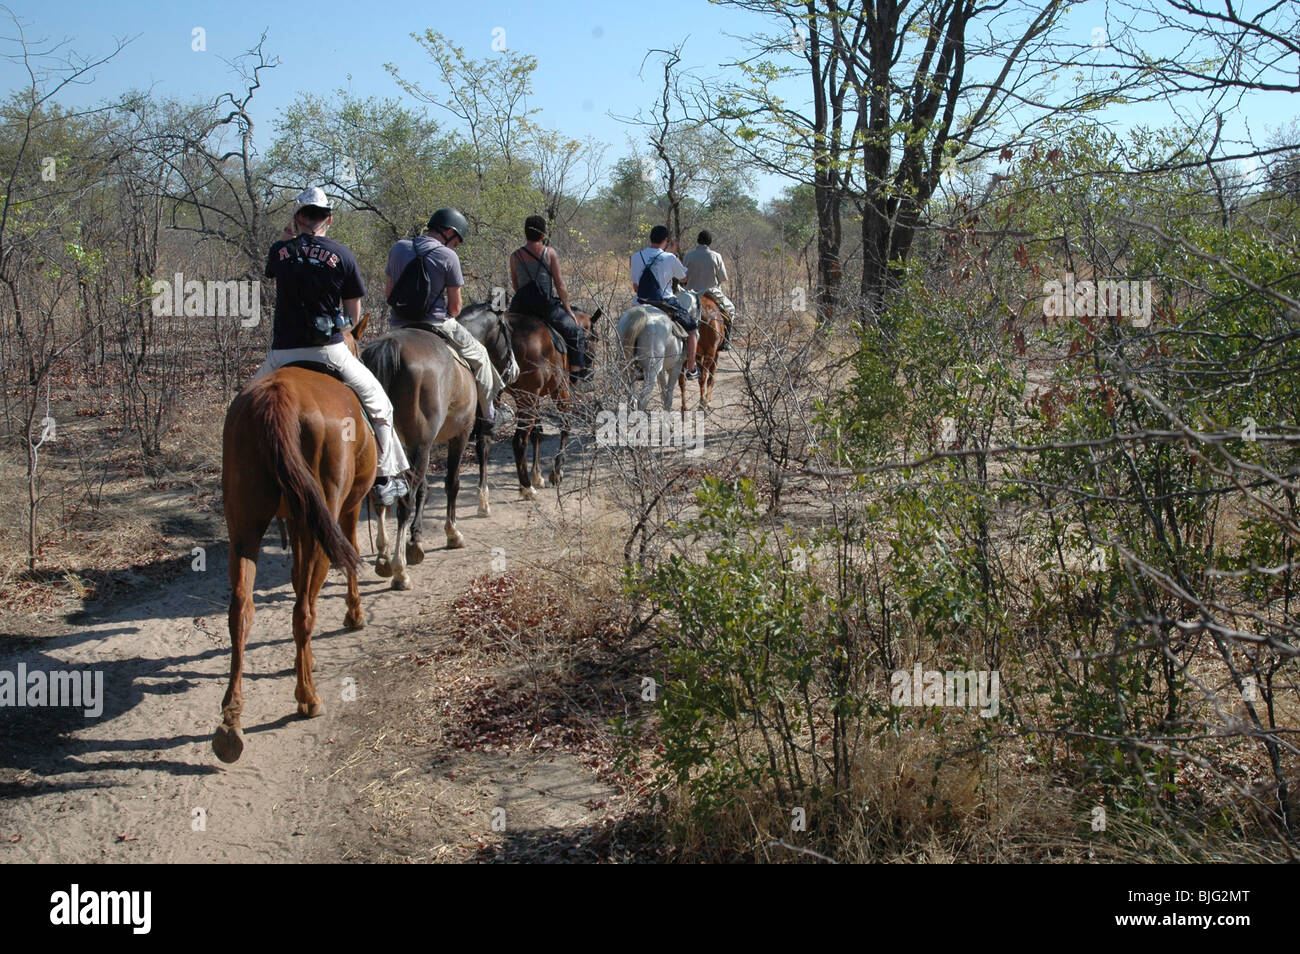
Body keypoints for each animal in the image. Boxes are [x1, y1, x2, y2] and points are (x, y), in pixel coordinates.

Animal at [214, 315, 376, 765]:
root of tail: (278, 398)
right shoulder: (344, 512)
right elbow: (349, 556)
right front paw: (354, 614)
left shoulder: (300, 525)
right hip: (322, 520)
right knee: (302, 608)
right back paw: (307, 698)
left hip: (245, 527)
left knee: (241, 611)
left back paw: (231, 721)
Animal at [361, 323, 478, 590]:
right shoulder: (459, 435)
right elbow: (451, 483)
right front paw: (452, 533)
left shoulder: (411, 448)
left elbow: (423, 487)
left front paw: (415, 540)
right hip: (423, 444)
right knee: (405, 501)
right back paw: (399, 572)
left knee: (380, 494)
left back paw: (383, 558)